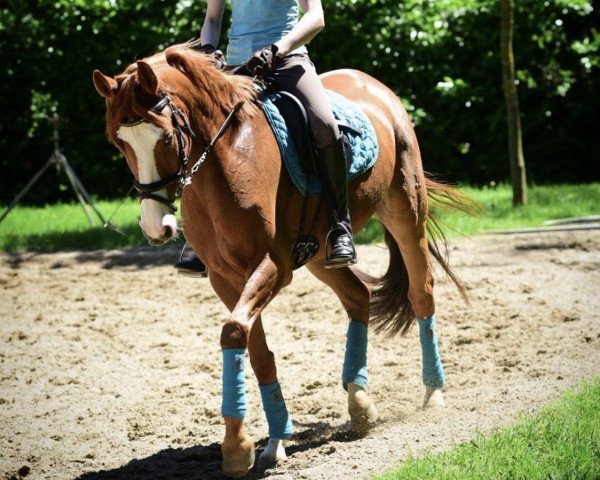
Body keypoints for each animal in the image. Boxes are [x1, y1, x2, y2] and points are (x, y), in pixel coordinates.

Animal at [91, 44, 472, 476]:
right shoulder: (224, 277)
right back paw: (359, 402)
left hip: (405, 210)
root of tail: (371, 84)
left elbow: (233, 332)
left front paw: (237, 447)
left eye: (166, 137)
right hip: (321, 253)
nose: (156, 227)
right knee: (357, 297)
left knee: (421, 292)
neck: (228, 158)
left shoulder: (273, 266)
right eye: (119, 143)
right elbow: (254, 350)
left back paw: (433, 394)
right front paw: (272, 442)